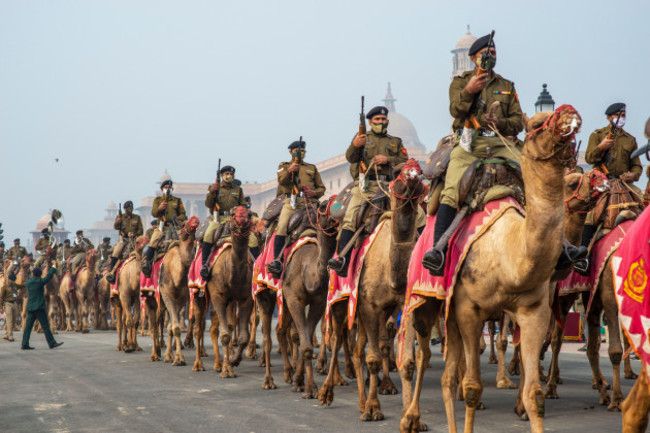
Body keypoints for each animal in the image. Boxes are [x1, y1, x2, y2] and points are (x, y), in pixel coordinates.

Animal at [156, 216, 199, 364]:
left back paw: (168, 354)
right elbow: (173, 327)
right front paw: (179, 359)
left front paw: (177, 357)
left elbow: (174, 327)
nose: (194, 221)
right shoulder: (167, 296)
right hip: (160, 299)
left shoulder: (182, 299)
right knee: (159, 319)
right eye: (182, 225)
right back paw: (159, 352)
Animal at [190, 208, 251, 376]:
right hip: (197, 292)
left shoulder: (245, 298)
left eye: (248, 214)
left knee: (213, 328)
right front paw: (227, 370)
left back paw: (217, 363)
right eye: (234, 215)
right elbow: (224, 335)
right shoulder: (218, 296)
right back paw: (198, 364)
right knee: (198, 329)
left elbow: (243, 337)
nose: (242, 220)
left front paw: (233, 360)